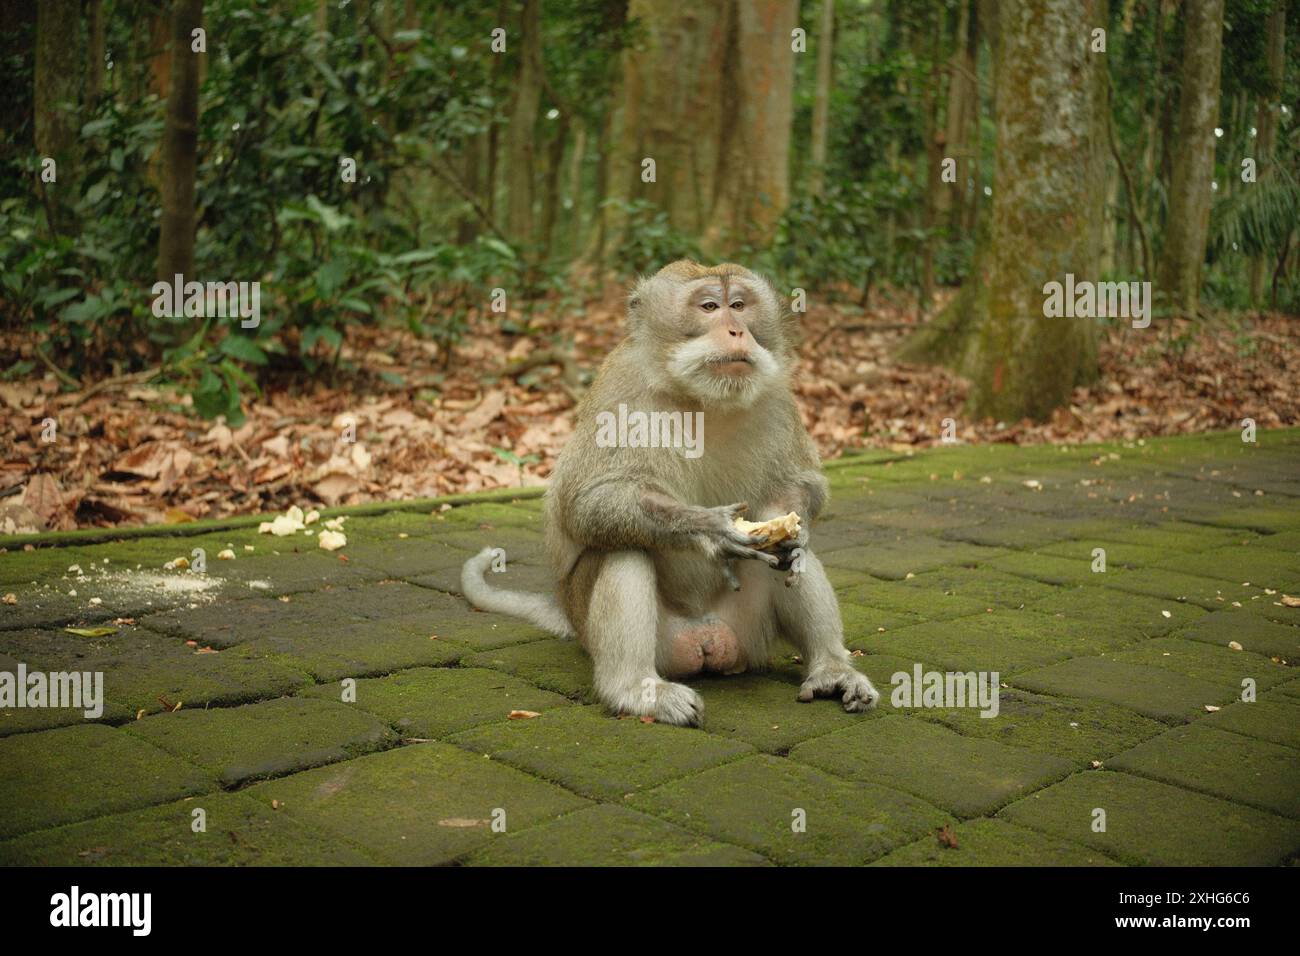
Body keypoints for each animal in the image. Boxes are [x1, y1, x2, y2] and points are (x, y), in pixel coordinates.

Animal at [462, 259, 879, 727]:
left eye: (739, 305)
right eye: (709, 306)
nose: (736, 330)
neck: (701, 399)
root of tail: (706, 636)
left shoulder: (778, 395)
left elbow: (804, 484)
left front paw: (787, 529)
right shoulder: (619, 392)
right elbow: (586, 503)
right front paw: (709, 528)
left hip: (749, 633)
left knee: (795, 564)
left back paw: (831, 669)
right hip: (638, 637)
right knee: (625, 547)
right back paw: (635, 690)